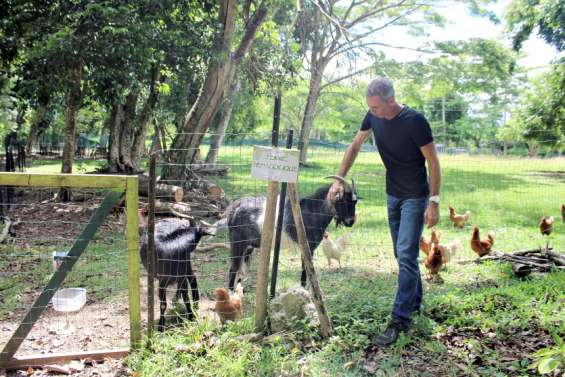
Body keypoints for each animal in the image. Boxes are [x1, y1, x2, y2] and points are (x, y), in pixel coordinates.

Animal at [220, 175, 356, 290]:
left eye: (355, 201)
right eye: (344, 200)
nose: (351, 222)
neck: (313, 211)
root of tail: (234, 208)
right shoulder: (308, 247)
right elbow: (305, 269)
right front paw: (304, 290)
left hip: (248, 246)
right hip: (237, 242)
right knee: (233, 268)